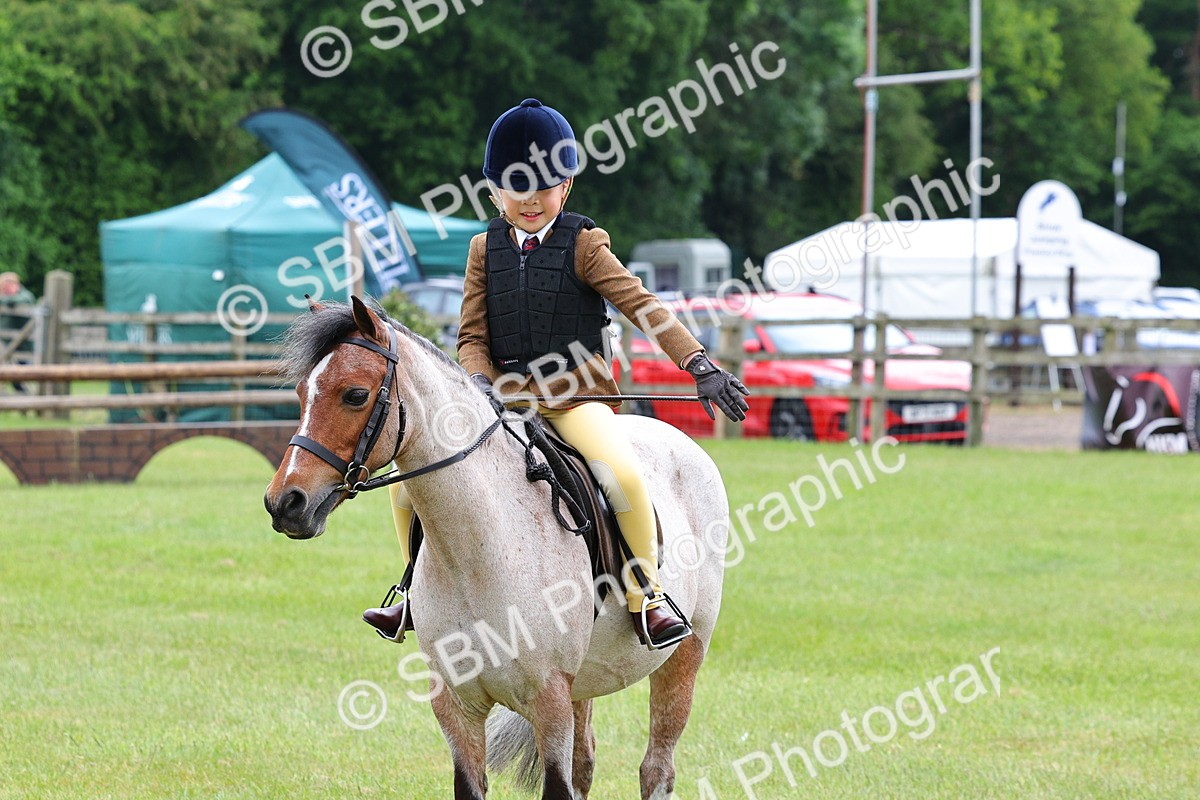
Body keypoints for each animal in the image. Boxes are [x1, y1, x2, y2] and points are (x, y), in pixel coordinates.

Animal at [263, 297, 730, 800]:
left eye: (354, 395)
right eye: (301, 393)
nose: (285, 503)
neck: (475, 554)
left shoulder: (550, 700)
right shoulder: (457, 705)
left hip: (684, 655)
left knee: (656, 768)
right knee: (587, 763)